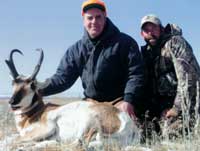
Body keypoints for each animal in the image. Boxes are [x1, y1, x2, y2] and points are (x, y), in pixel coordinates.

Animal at [5, 49, 141, 149]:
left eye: (32, 85)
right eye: (13, 83)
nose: (12, 102)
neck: (38, 112)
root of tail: (128, 123)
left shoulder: (44, 128)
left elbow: (9, 140)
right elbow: (11, 137)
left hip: (87, 125)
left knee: (78, 143)